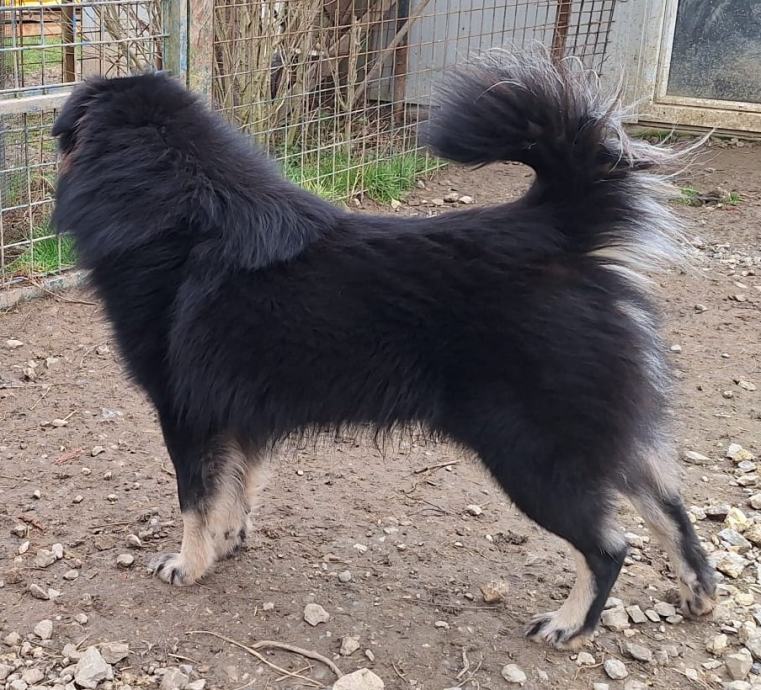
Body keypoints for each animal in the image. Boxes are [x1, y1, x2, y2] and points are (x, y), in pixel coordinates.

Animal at [51, 49, 716, 649]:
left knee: (610, 546)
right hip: (592, 437)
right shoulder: (239, 414)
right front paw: (229, 540)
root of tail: (555, 235)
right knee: (668, 507)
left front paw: (188, 564)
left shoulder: (186, 412)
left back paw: (569, 624)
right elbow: (236, 488)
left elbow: (195, 499)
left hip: (530, 456)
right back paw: (699, 593)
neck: (181, 216)